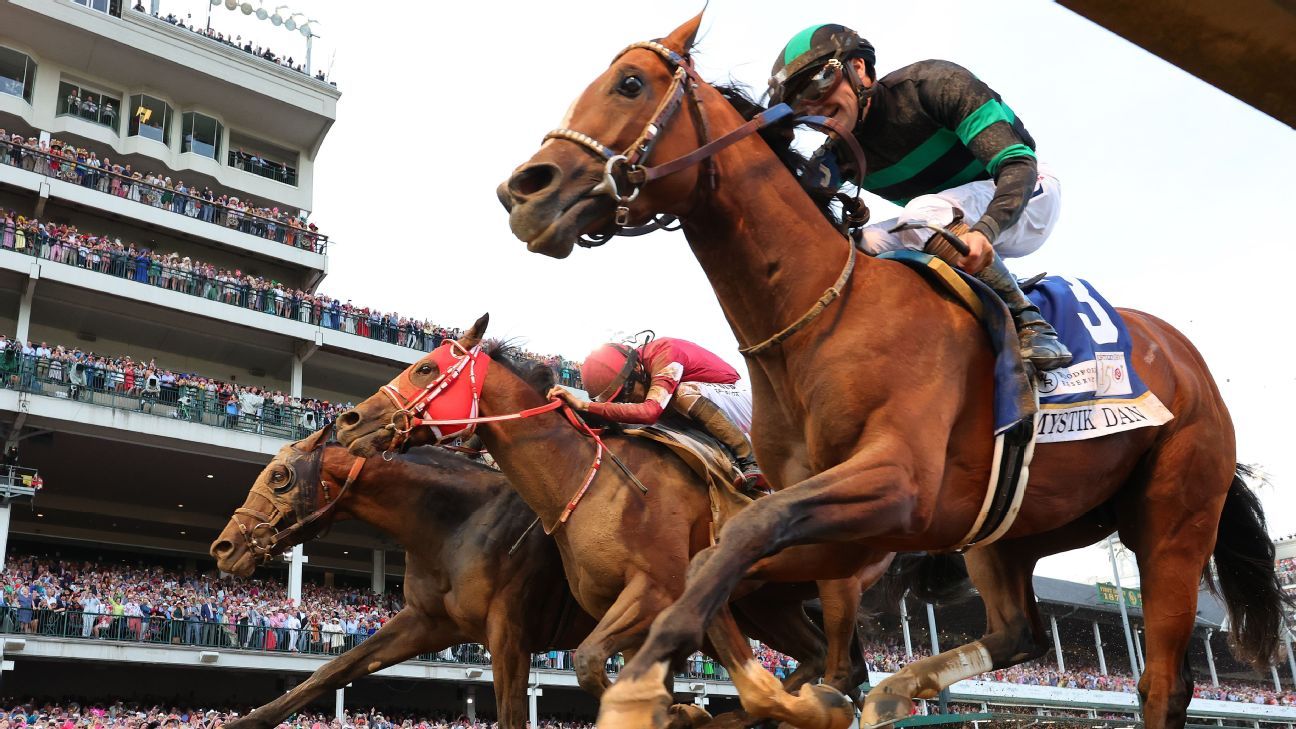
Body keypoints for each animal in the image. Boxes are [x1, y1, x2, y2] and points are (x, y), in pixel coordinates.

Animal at [212, 425, 596, 726]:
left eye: (279, 476)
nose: (224, 546)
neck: (461, 524)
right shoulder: (427, 621)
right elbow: (332, 670)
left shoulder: (509, 635)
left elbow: (511, 715)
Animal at [331, 337, 922, 721]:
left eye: (426, 369)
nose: (349, 420)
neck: (585, 477)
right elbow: (602, 667)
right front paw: (683, 711)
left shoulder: (660, 587)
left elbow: (596, 662)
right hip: (769, 602)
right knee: (820, 657)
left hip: (837, 581)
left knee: (841, 670)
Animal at [492, 14, 1285, 726]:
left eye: (629, 83)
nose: (524, 191)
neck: (822, 315)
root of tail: (1182, 354)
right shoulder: (847, 524)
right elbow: (724, 568)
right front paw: (759, 693)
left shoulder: (894, 485)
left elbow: (748, 535)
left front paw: (649, 687)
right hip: (1014, 523)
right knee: (1019, 630)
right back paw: (897, 690)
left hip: (1174, 515)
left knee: (1162, 682)